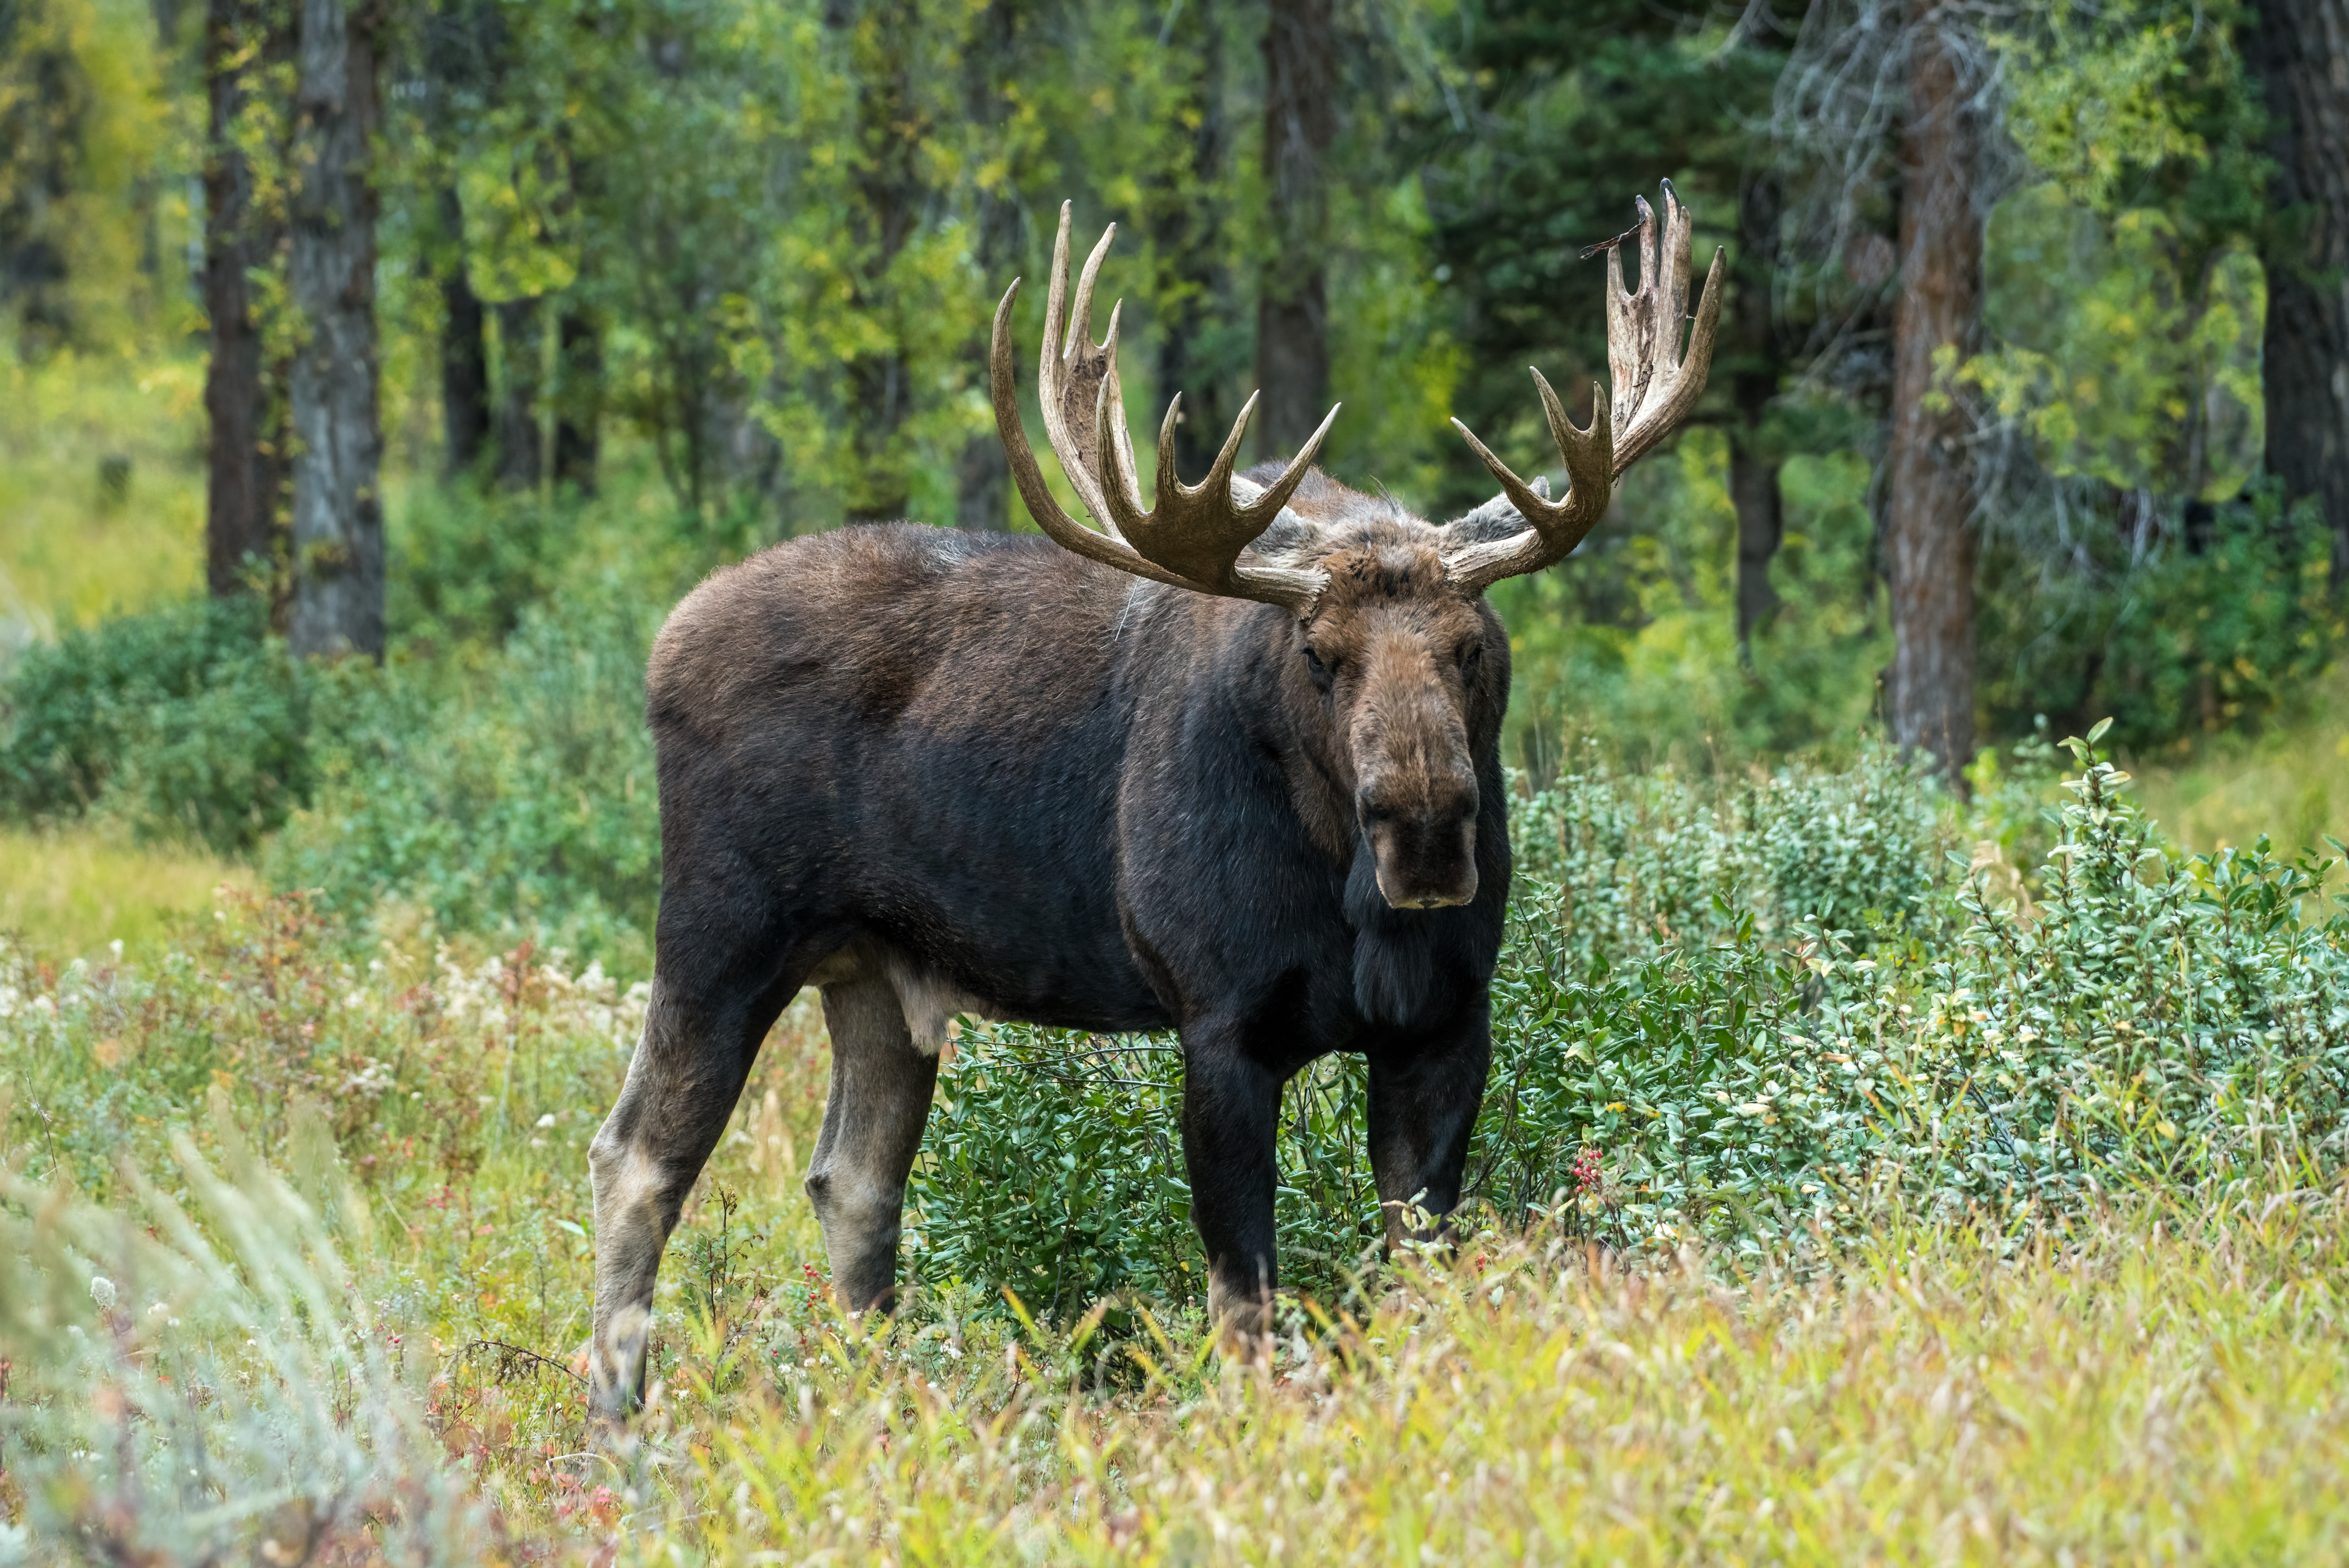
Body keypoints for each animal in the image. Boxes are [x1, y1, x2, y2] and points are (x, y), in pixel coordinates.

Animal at [587, 184, 1729, 1418]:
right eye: (1319, 655)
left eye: (1472, 647)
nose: (1424, 832)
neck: (1343, 894)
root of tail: (661, 643)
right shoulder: (1218, 1022)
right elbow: (1244, 1301)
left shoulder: (1447, 1019)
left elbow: (1416, 1274)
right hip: (722, 930)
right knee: (636, 1158)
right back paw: (618, 1428)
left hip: (877, 973)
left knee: (852, 1180)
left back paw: (882, 1404)